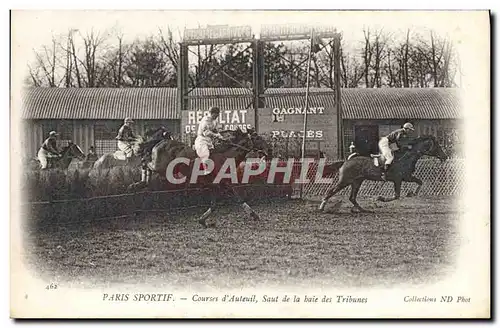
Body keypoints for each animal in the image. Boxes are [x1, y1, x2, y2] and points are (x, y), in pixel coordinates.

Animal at [128, 128, 270, 228]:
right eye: (257, 137)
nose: (269, 150)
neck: (225, 157)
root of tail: (161, 142)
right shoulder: (220, 184)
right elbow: (233, 199)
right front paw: (254, 215)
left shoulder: (219, 184)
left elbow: (219, 203)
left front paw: (202, 220)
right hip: (161, 167)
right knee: (146, 162)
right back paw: (137, 182)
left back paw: (138, 184)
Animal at [320, 135, 450, 213]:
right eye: (437, 146)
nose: (445, 156)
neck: (407, 157)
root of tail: (346, 161)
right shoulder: (398, 179)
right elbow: (396, 196)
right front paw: (380, 198)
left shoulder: (407, 177)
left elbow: (420, 182)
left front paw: (412, 193)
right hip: (345, 180)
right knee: (331, 191)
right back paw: (321, 207)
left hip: (357, 181)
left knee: (352, 197)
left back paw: (362, 210)